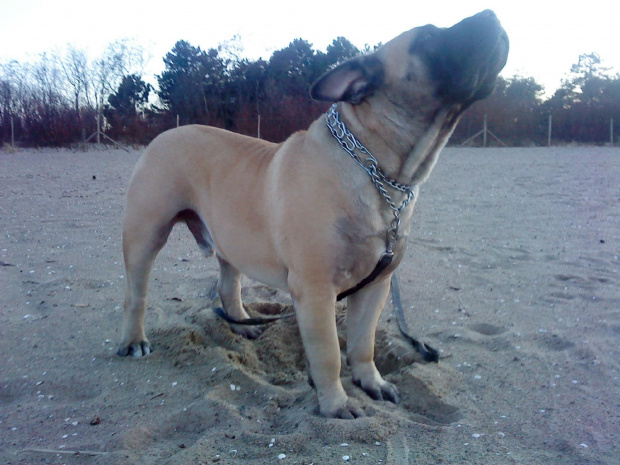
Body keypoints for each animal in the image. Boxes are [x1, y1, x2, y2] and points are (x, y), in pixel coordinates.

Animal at [120, 10, 508, 416]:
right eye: (430, 38)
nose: (490, 14)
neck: (379, 169)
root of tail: (166, 133)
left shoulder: (376, 286)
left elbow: (362, 343)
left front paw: (370, 382)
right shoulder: (316, 290)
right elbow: (328, 354)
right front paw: (336, 404)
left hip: (231, 239)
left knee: (229, 283)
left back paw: (241, 323)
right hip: (146, 233)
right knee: (136, 293)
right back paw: (134, 341)